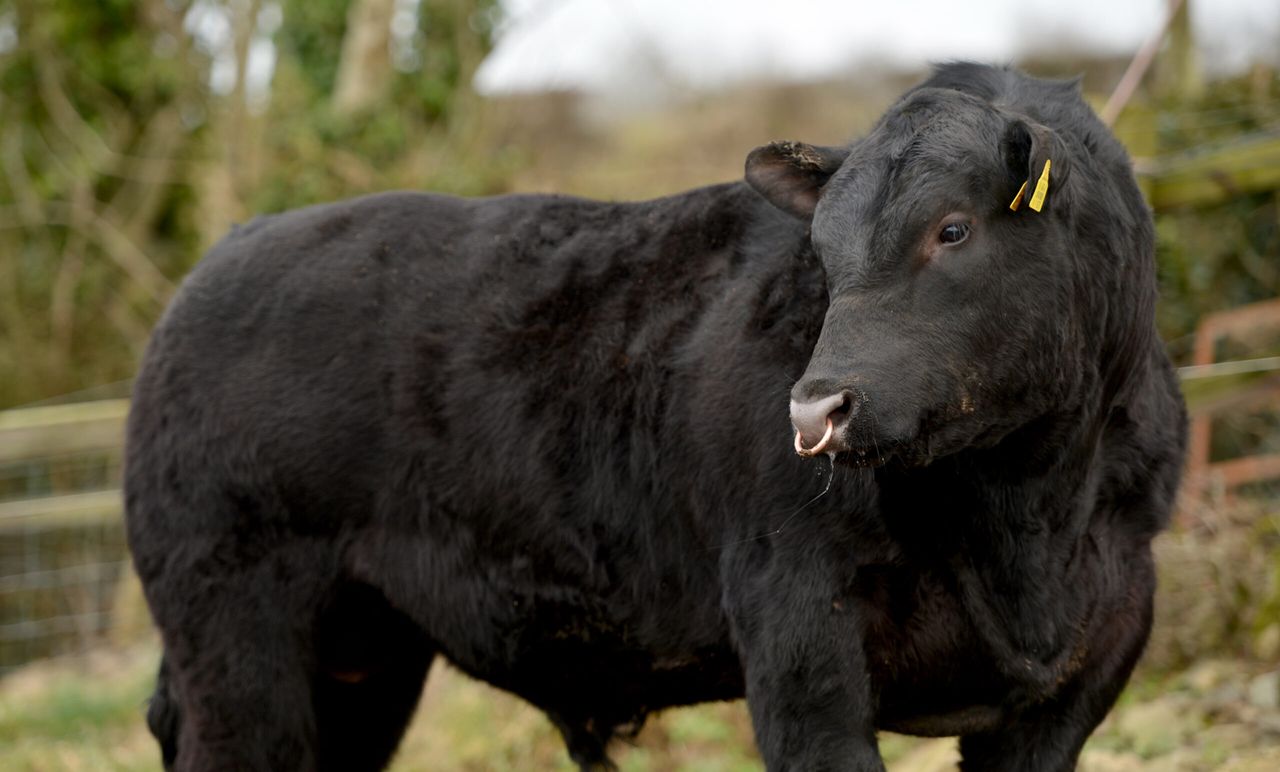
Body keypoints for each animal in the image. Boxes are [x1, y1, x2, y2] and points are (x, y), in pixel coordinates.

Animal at [124, 62, 1186, 771]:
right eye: (822, 252)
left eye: (952, 229)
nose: (816, 406)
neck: (1029, 519)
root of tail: (231, 250)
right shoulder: (799, 637)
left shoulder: (1086, 665)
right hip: (234, 636)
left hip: (360, 659)